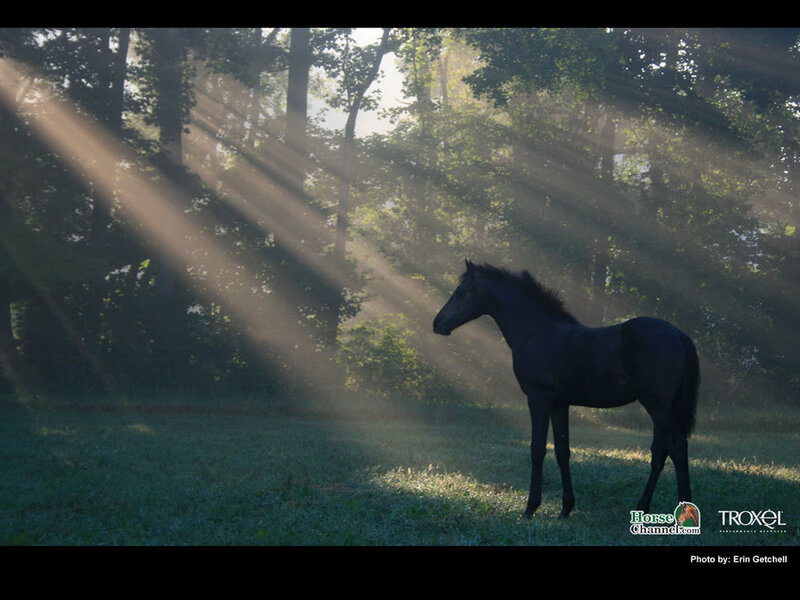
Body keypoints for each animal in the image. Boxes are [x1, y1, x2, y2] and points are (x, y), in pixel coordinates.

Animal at [433, 260, 700, 519]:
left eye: (461, 291)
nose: (437, 323)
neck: (537, 332)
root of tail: (679, 334)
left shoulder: (538, 398)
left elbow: (537, 449)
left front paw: (531, 507)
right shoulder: (560, 404)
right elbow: (562, 451)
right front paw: (565, 508)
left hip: (656, 404)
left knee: (676, 446)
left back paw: (684, 507)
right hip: (661, 407)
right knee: (659, 452)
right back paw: (643, 507)